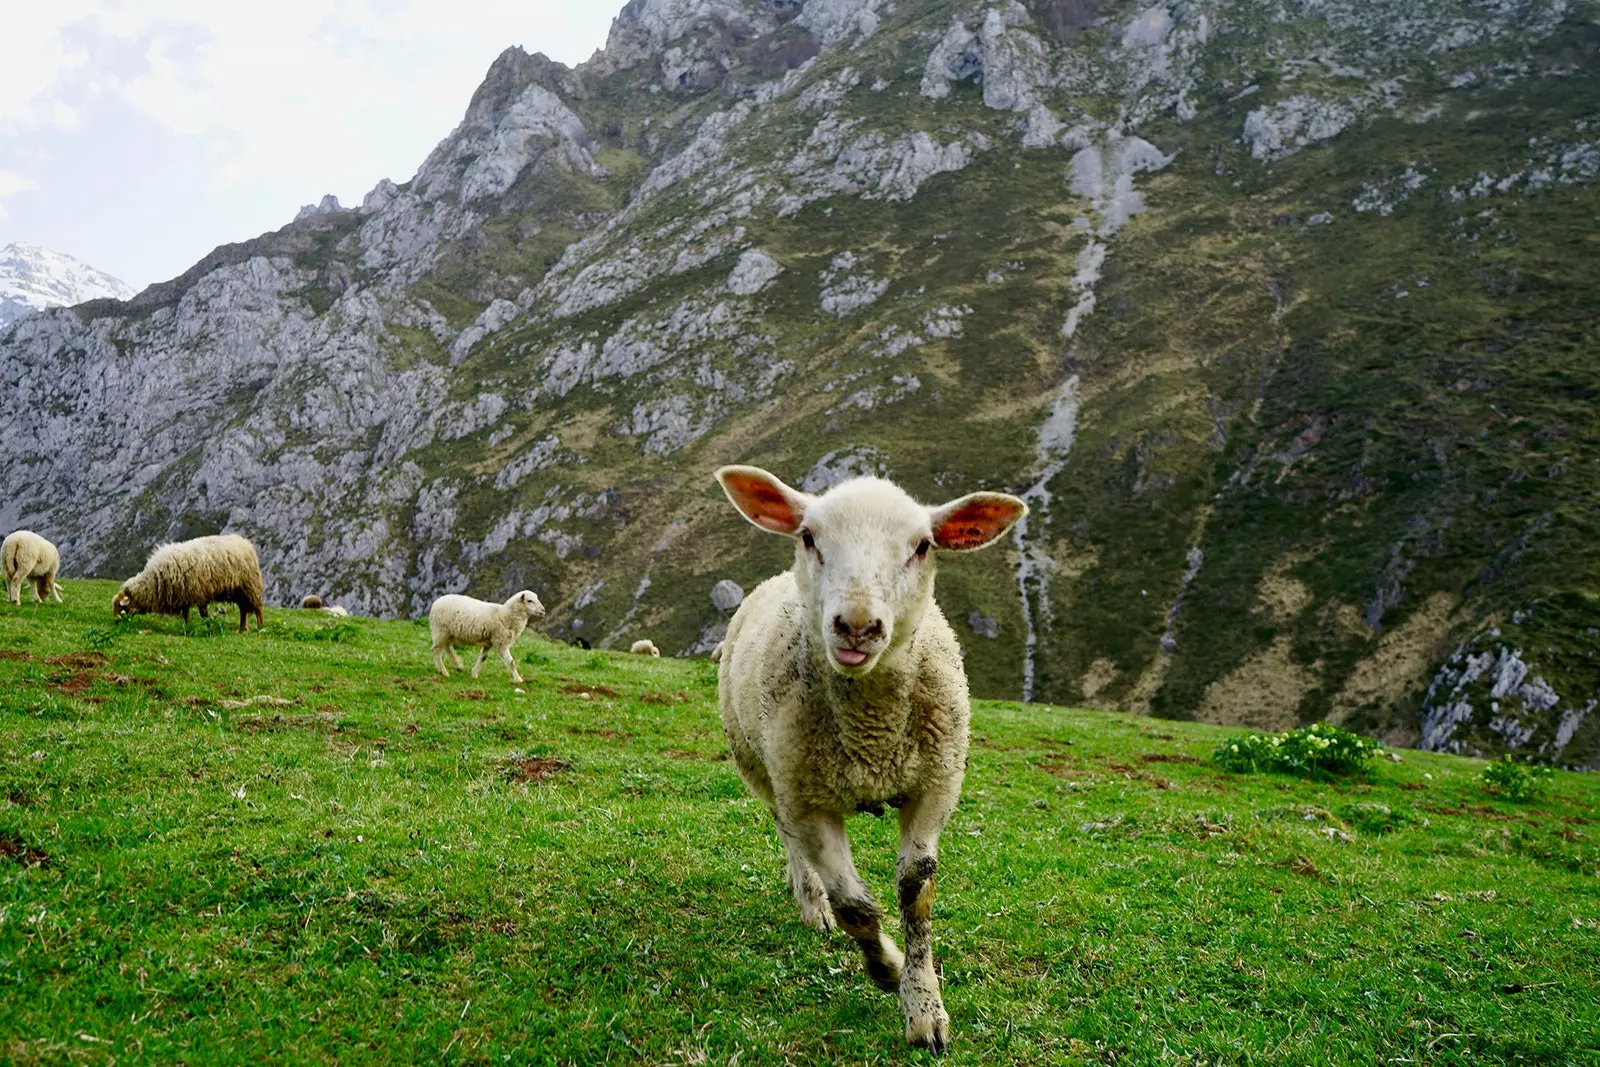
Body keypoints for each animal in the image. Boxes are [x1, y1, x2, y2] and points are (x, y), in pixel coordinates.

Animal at [114, 534, 267, 633]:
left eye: (121, 607)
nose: (115, 622)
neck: (154, 580)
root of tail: (244, 541)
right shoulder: (183, 595)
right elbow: (186, 614)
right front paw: (188, 626)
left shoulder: (200, 593)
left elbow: (203, 614)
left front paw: (209, 627)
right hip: (237, 591)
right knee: (243, 610)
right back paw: (242, 629)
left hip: (250, 586)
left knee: (258, 608)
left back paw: (260, 627)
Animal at [713, 463, 1024, 1049]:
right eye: (809, 537)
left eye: (922, 546)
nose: (857, 626)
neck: (872, 739)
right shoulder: (808, 800)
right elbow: (855, 907)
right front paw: (888, 968)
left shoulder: (936, 785)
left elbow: (916, 892)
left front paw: (924, 1005)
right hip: (763, 768)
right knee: (787, 834)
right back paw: (811, 901)